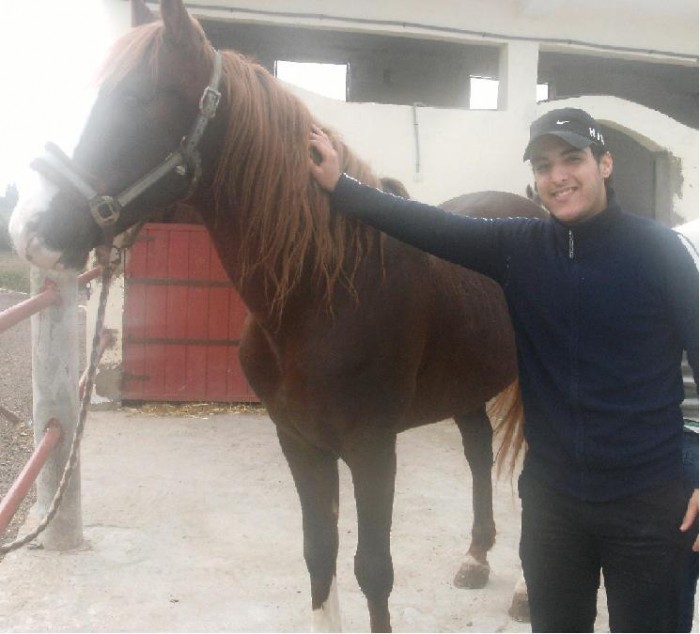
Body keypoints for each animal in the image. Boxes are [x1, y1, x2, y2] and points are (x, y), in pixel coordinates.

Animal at [9, 0, 541, 630]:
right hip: (465, 383)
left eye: (136, 98)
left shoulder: (372, 448)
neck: (326, 291)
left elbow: (373, 570)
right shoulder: (300, 440)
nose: (29, 229)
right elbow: (319, 554)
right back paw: (475, 558)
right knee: (479, 451)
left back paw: (525, 592)